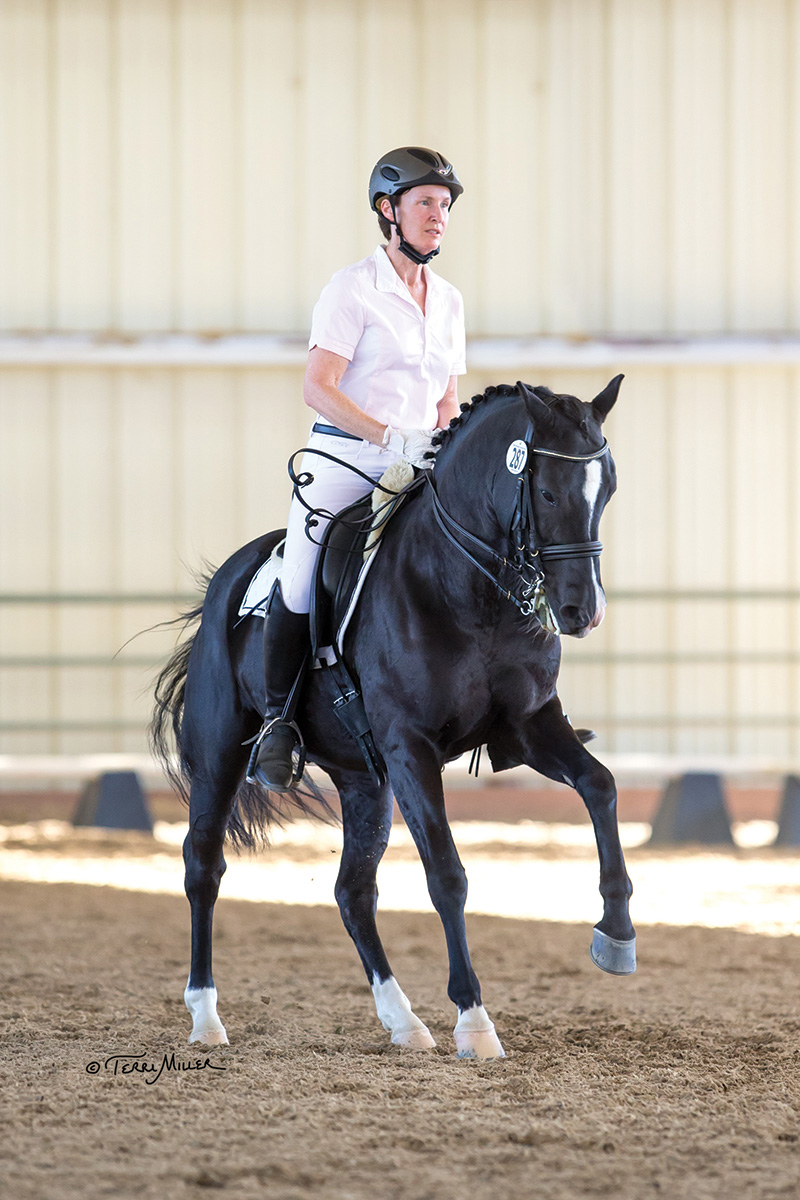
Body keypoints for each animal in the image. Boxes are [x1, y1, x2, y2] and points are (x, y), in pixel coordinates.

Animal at [151, 374, 638, 1060]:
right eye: (546, 490)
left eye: (608, 489)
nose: (580, 611)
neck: (469, 587)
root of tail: (230, 575)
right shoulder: (412, 748)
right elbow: (447, 874)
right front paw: (474, 1019)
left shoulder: (532, 724)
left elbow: (601, 785)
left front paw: (616, 933)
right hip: (220, 757)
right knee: (203, 868)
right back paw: (205, 1017)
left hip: (364, 780)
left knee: (353, 892)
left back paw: (403, 1020)